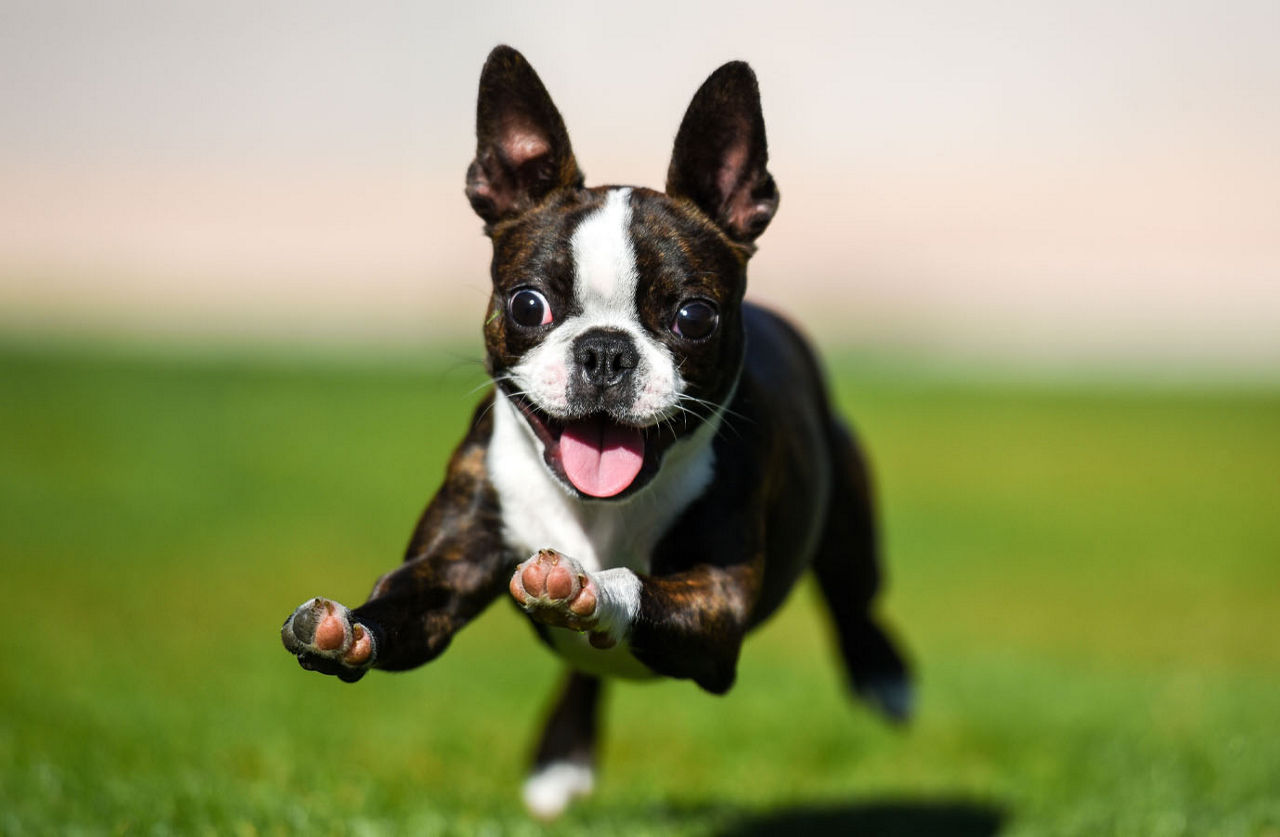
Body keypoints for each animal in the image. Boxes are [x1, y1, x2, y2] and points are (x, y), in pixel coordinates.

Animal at [286, 44, 916, 819]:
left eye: (694, 317)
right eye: (528, 304)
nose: (606, 351)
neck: (598, 509)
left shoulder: (716, 603)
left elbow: (632, 584)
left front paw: (586, 584)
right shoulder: (451, 565)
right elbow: (404, 602)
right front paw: (345, 630)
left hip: (849, 522)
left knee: (857, 598)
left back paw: (886, 677)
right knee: (588, 669)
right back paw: (562, 757)